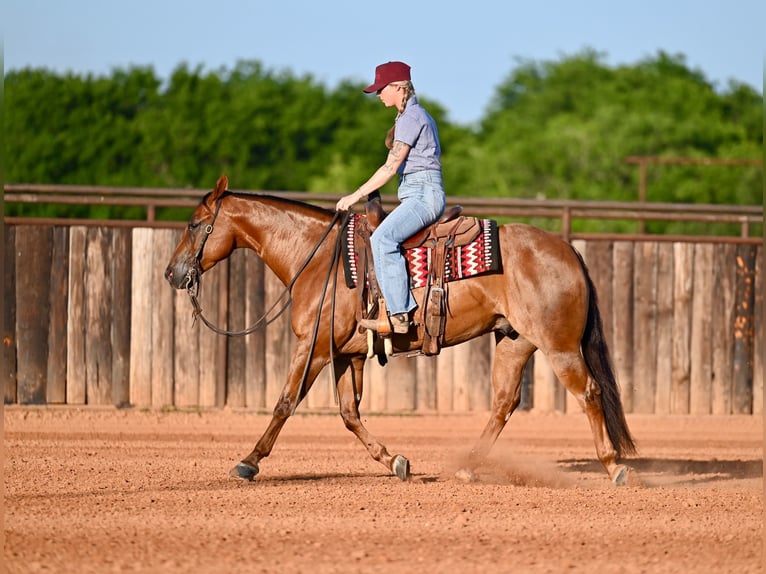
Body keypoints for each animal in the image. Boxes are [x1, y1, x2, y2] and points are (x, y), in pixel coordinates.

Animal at [165, 175, 638, 485]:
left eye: (194, 223)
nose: (172, 273)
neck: (317, 258)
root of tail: (568, 251)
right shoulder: (346, 354)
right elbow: (349, 414)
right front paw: (395, 461)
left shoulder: (311, 349)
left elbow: (285, 402)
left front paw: (249, 462)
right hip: (514, 342)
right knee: (504, 403)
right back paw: (467, 467)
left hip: (560, 346)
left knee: (589, 392)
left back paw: (615, 466)